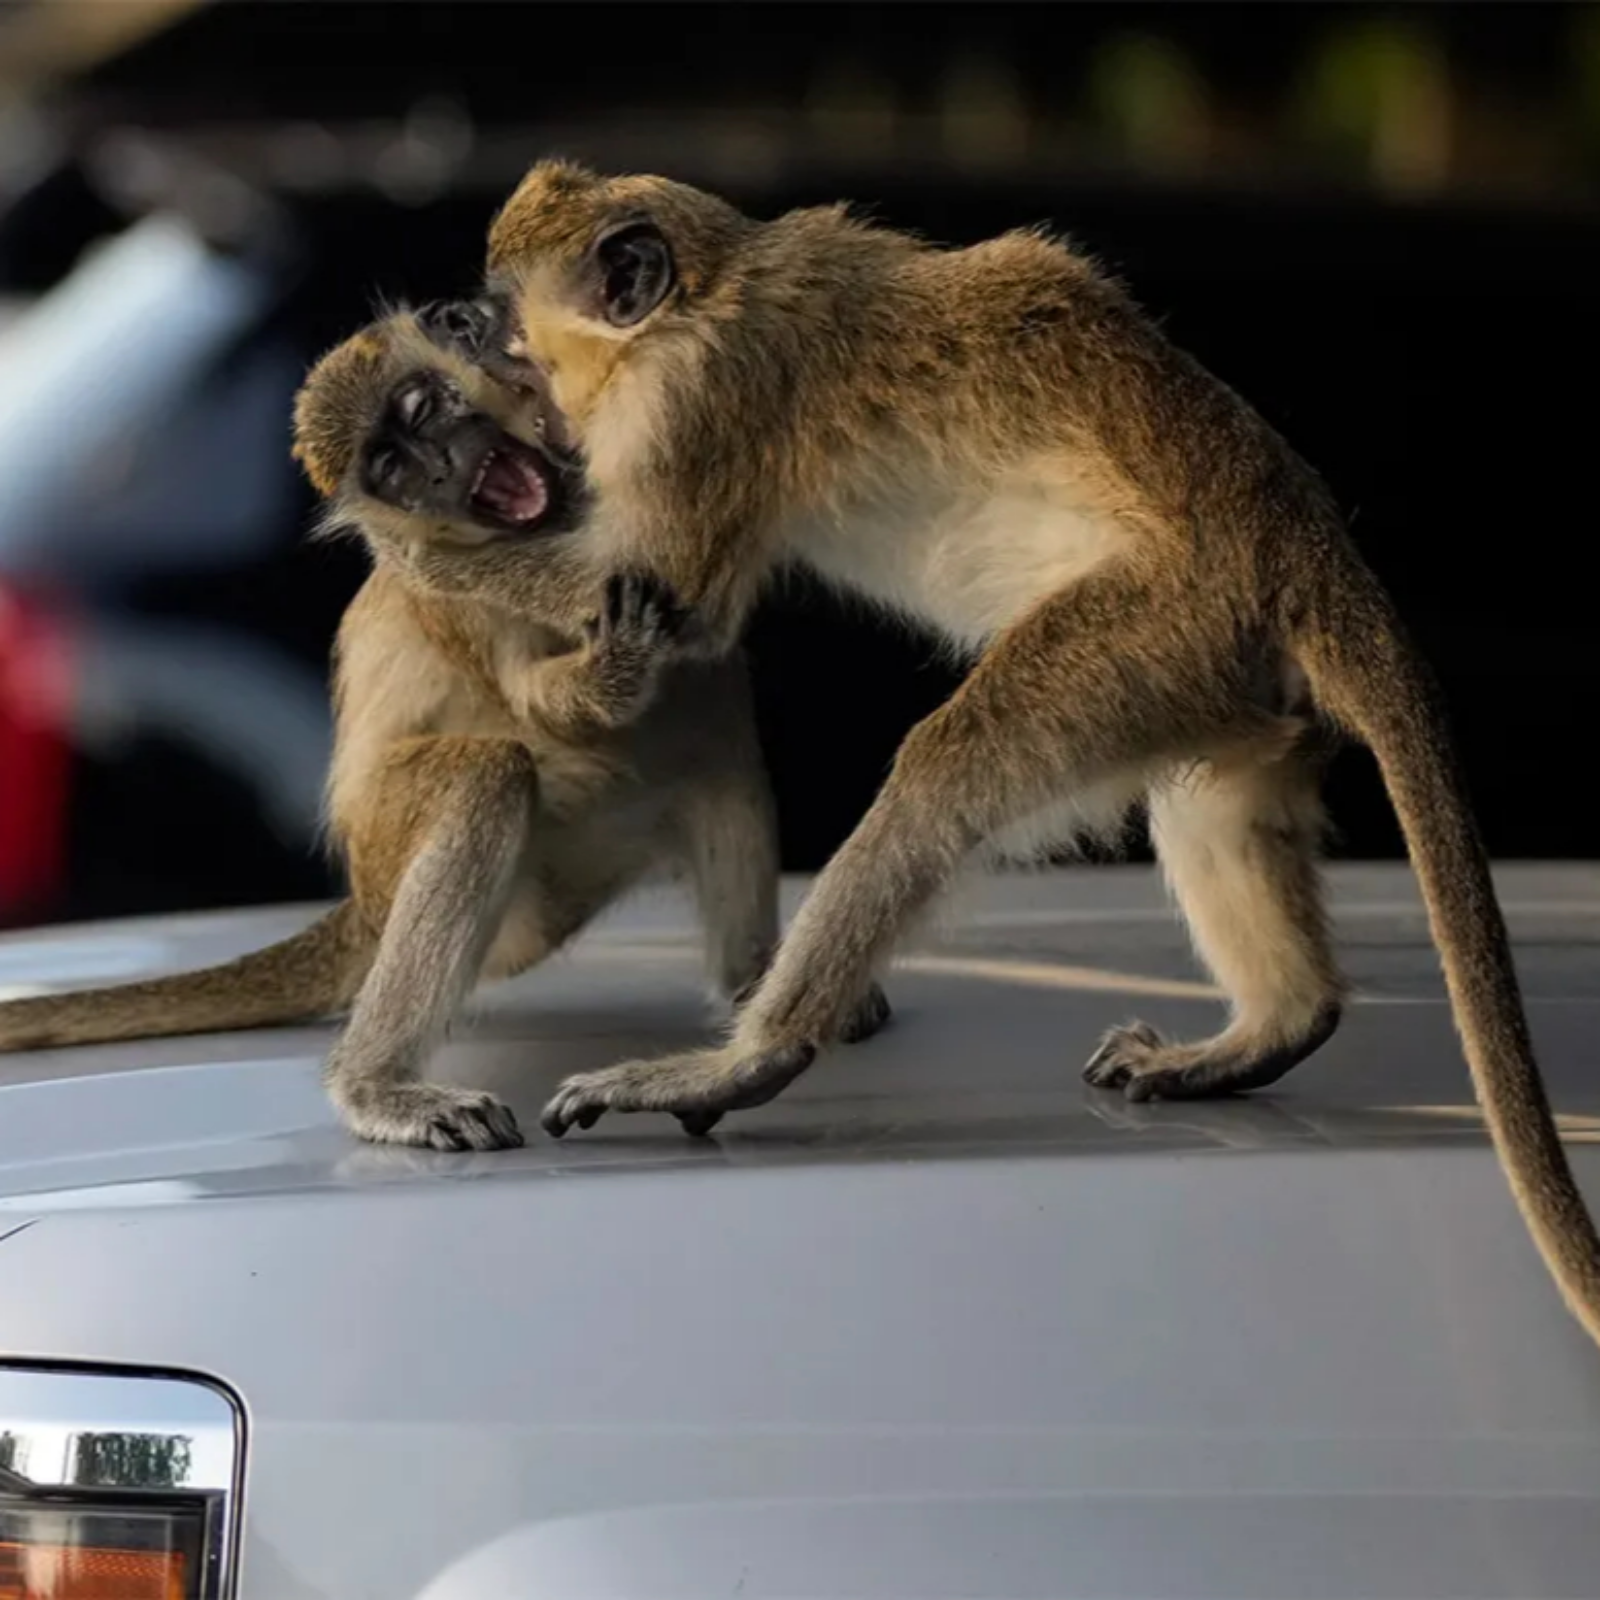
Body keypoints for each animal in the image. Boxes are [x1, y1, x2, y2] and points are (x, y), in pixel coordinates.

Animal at [0, 302, 888, 1150]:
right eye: (391, 471)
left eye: (422, 413)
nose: (433, 469)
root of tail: (367, 904)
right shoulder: (453, 590)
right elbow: (535, 699)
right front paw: (613, 662)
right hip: (446, 874)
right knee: (487, 774)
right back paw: (376, 1086)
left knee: (712, 725)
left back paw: (752, 981)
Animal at [387, 160, 1600, 1350]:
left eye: (496, 319)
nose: (445, 314)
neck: (706, 294)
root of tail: (1306, 546)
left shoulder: (694, 403)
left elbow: (661, 599)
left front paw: (402, 540)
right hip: (1219, 667)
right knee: (1208, 805)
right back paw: (1272, 1029)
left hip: (1161, 621)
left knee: (948, 771)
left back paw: (751, 1060)